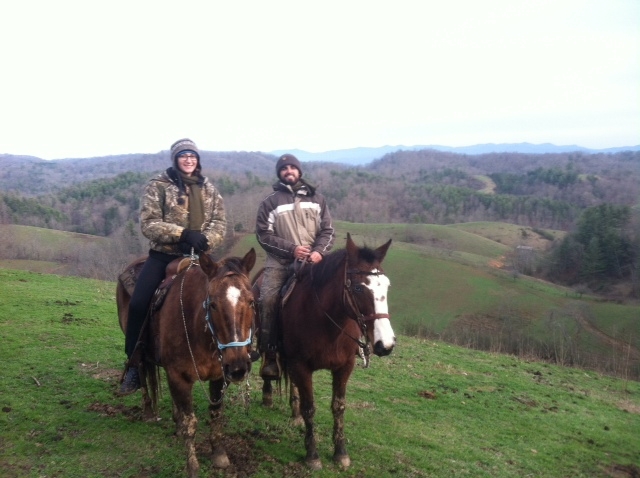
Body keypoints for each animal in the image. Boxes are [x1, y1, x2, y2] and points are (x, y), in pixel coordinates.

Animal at [116, 250, 256, 478]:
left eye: (251, 302)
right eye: (212, 304)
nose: (238, 367)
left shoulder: (218, 375)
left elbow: (215, 413)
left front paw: (219, 454)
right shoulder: (179, 376)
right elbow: (190, 421)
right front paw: (192, 466)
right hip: (141, 352)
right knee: (142, 372)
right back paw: (147, 410)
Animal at [251, 233, 392, 468]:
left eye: (387, 287)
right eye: (358, 288)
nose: (386, 344)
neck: (327, 323)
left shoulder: (344, 367)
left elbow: (338, 407)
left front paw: (341, 452)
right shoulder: (301, 365)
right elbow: (310, 408)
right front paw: (312, 455)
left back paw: (294, 413)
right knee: (268, 363)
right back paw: (268, 395)